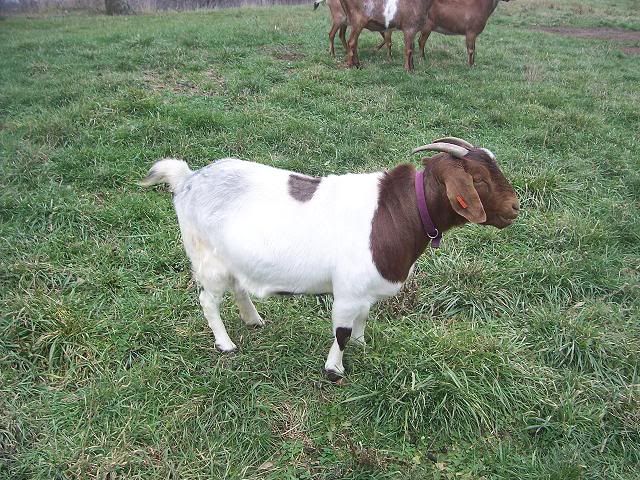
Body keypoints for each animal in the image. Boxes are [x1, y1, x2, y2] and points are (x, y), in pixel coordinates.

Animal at [140, 137, 519, 380]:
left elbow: (363, 319)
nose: (516, 207)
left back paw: (254, 320)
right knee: (208, 300)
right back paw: (226, 344)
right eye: (478, 179)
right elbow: (342, 331)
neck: (396, 212)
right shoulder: (348, 291)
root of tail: (187, 179)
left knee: (239, 287)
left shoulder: (364, 289)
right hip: (208, 259)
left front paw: (364, 344)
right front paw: (334, 370)